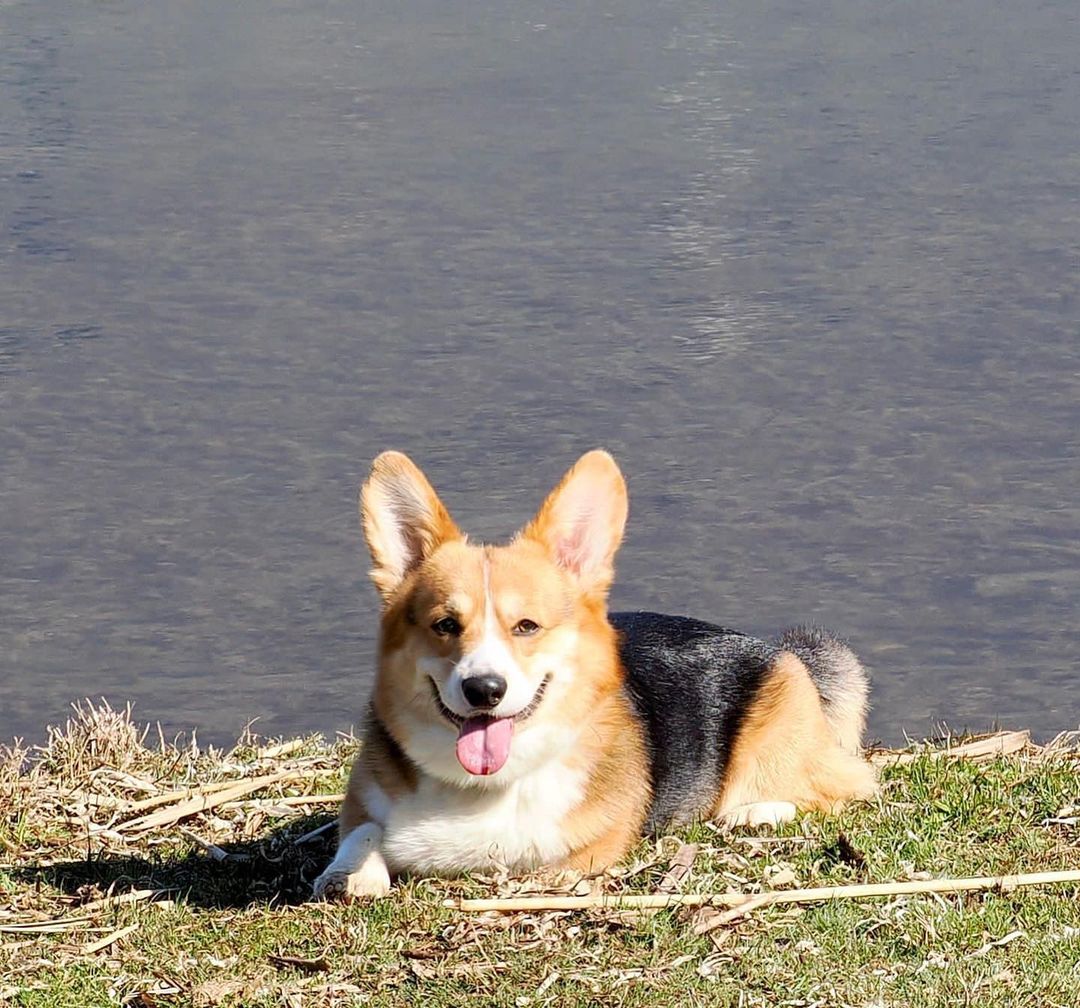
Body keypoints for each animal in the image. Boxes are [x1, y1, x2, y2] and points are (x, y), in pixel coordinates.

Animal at [313, 449, 876, 898]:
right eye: (445, 625)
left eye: (526, 626)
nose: (484, 690)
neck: (483, 788)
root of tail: (781, 651)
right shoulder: (361, 803)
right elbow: (361, 833)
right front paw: (349, 875)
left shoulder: (583, 851)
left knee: (846, 787)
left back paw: (755, 811)